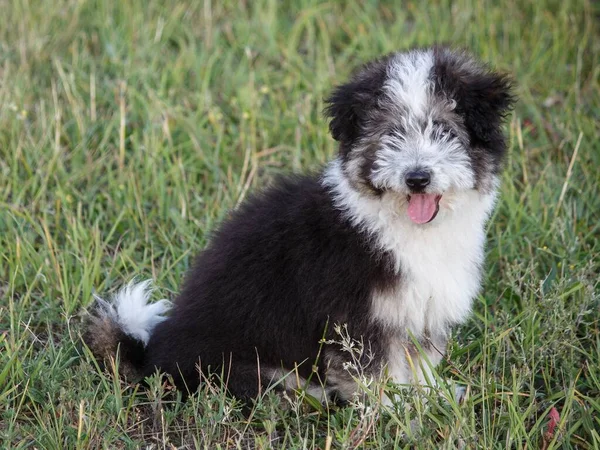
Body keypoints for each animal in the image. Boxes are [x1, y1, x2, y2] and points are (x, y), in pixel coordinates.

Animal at [85, 47, 516, 406]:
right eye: (391, 135)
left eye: (443, 130)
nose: (417, 178)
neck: (402, 226)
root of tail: (152, 360)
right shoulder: (357, 319)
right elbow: (377, 375)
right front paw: (395, 417)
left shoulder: (422, 310)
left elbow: (420, 364)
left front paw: (434, 400)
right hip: (241, 366)